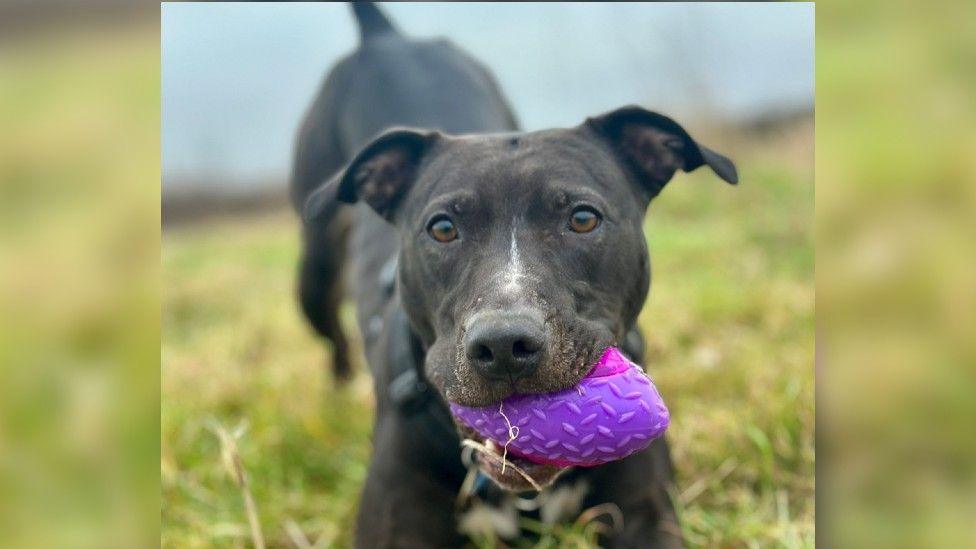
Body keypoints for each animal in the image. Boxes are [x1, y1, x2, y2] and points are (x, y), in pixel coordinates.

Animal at [294, 3, 736, 544]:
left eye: (583, 218)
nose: (504, 344)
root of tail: (382, 37)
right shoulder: (395, 527)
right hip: (313, 270)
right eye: (442, 228)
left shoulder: (645, 511)